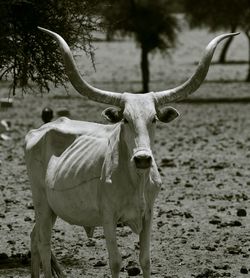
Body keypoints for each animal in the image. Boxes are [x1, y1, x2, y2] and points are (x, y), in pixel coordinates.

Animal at [24, 28, 238, 278]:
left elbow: (145, 259)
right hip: (41, 202)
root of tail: (40, 129)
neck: (136, 180)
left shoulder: (148, 214)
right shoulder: (108, 217)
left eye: (154, 119)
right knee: (44, 242)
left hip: (50, 208)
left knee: (34, 236)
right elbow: (115, 261)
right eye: (125, 119)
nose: (143, 159)